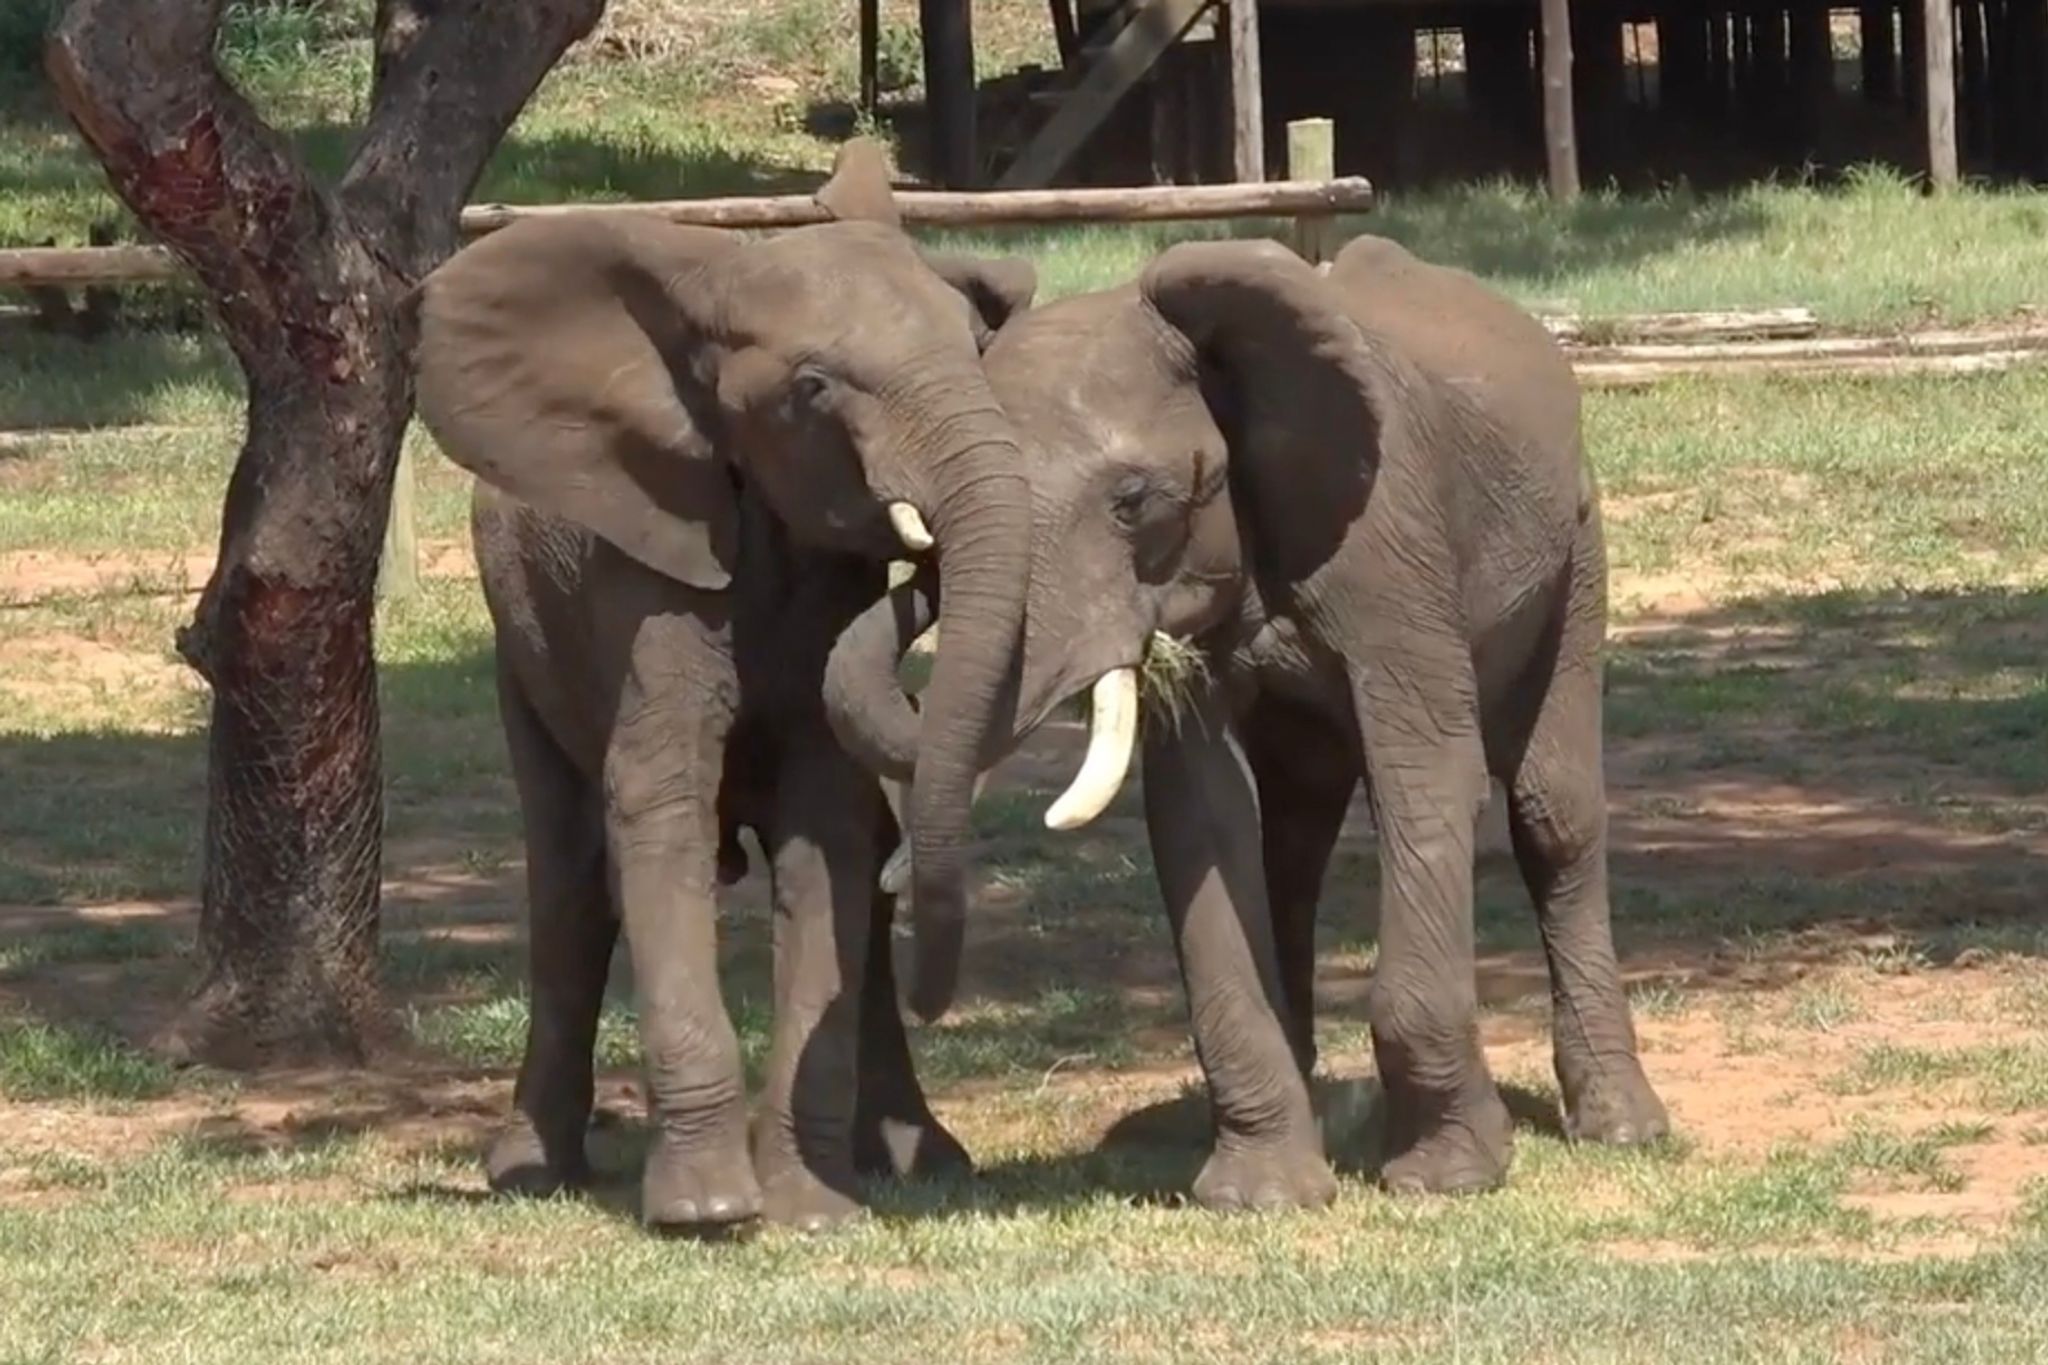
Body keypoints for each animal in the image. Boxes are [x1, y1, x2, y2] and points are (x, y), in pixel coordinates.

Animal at [411, 144, 1040, 1236]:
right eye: (813, 387)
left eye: (976, 345)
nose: (923, 554)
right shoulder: (645, 568)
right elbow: (655, 806)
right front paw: (706, 1212)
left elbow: (828, 836)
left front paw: (811, 1211)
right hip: (520, 650)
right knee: (569, 881)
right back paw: (530, 1171)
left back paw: (923, 1162)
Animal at [823, 232, 1671, 1203]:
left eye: (1135, 502)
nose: (925, 993)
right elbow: (1204, 814)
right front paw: (1263, 1194)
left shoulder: (1392, 542)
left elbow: (1426, 777)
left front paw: (1449, 1176)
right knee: (1293, 843)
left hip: (1578, 546)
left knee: (1552, 813)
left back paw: (1623, 1127)